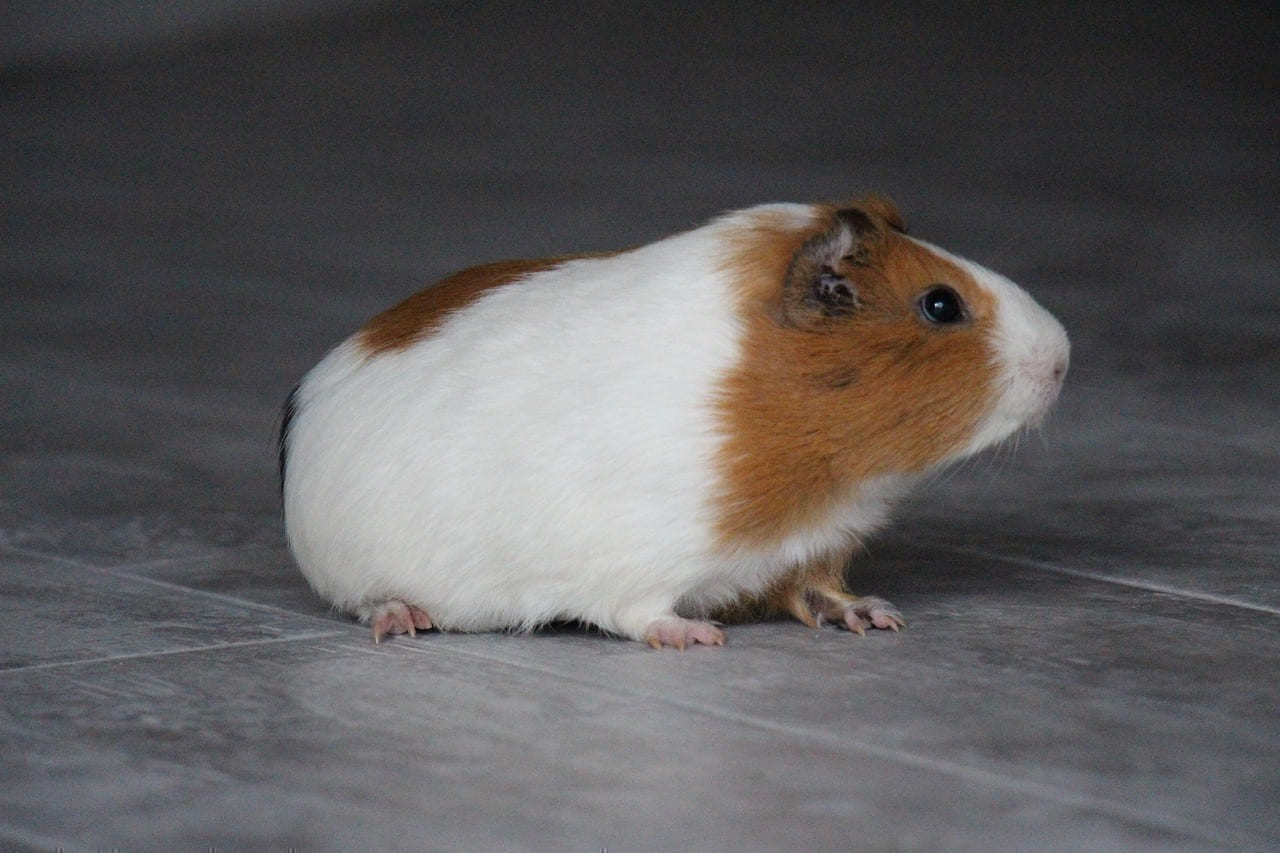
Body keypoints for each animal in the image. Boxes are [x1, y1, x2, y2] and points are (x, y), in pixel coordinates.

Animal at [279, 196, 1069, 649]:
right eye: (940, 304)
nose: (1062, 355)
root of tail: (309, 401)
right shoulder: (637, 563)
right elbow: (641, 614)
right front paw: (699, 635)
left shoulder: (812, 546)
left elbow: (821, 592)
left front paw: (877, 616)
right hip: (363, 574)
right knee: (371, 604)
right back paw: (403, 622)